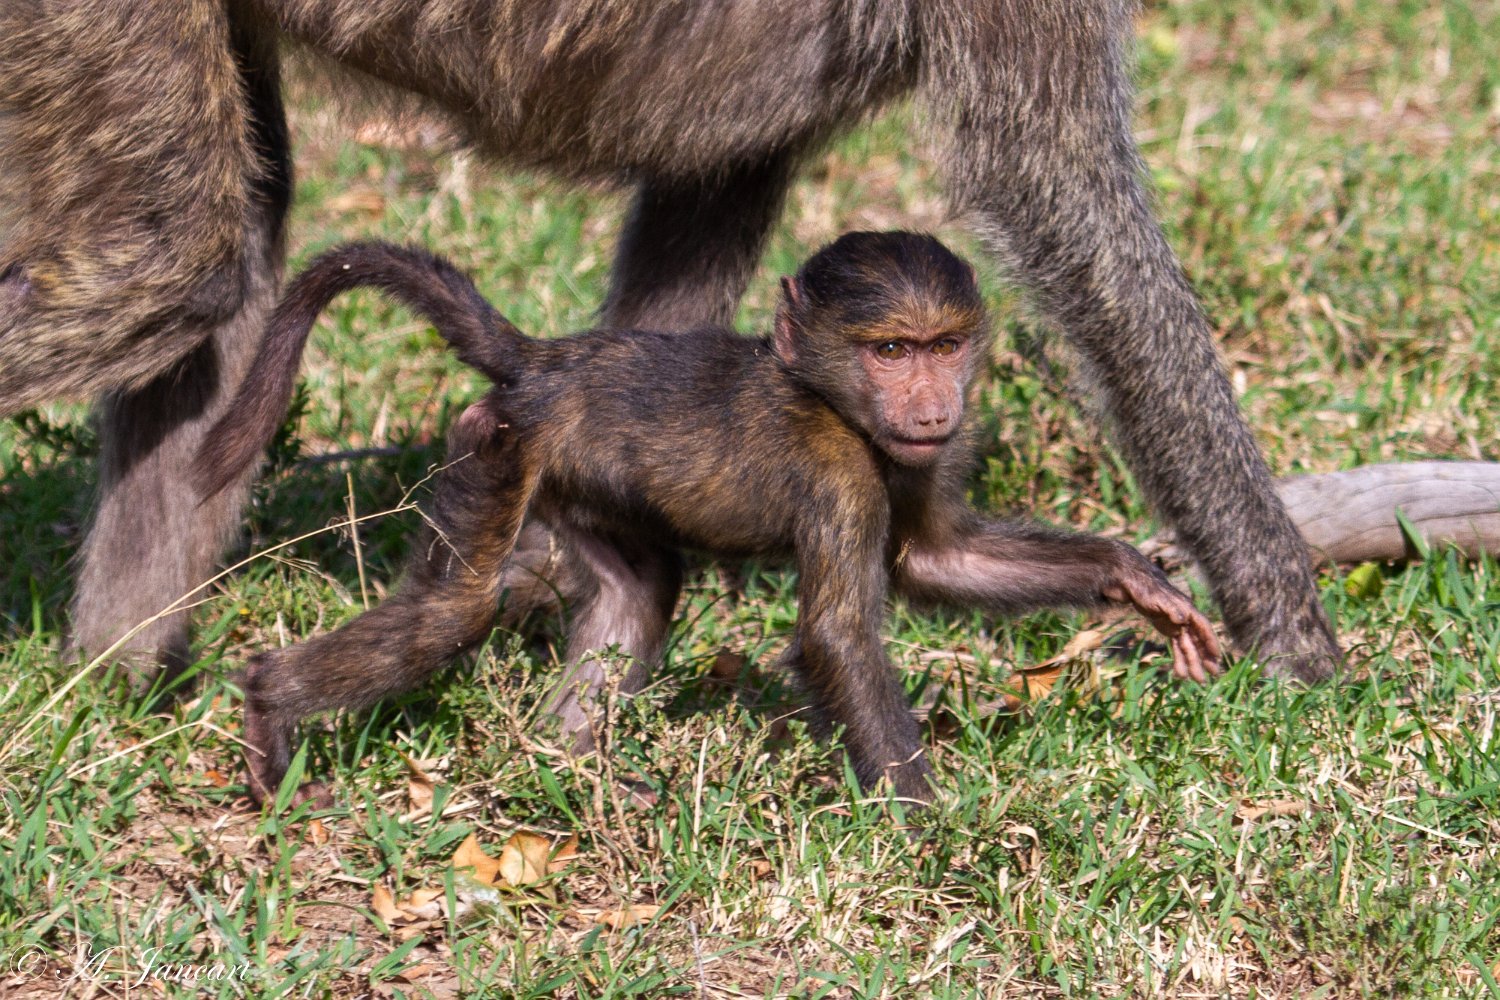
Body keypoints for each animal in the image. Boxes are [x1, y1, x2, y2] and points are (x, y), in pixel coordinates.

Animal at [0, 0, 1338, 685]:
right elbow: (1058, 182)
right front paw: (1300, 643)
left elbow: (706, 210)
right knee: (171, 264)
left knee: (224, 241)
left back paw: (110, 679)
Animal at [194, 231, 1222, 807]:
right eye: (891, 350)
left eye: (944, 345)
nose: (932, 407)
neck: (830, 395)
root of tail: (551, 359)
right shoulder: (838, 471)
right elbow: (839, 635)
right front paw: (932, 832)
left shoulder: (914, 459)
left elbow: (934, 560)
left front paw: (1133, 580)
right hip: (503, 447)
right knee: (457, 610)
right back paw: (270, 708)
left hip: (563, 474)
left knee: (638, 593)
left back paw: (571, 771)